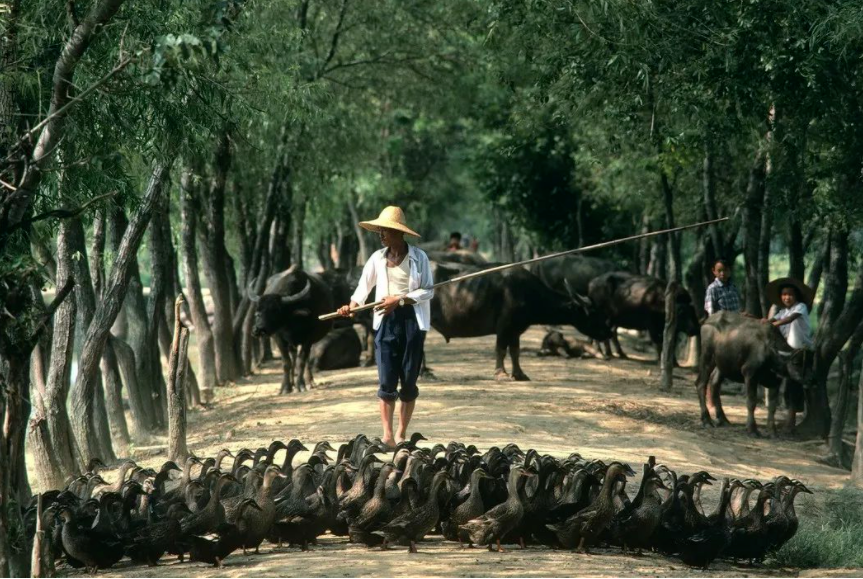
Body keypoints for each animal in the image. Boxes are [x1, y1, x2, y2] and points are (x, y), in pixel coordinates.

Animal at [428, 262, 612, 380]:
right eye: (593, 313)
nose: (608, 332)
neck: (527, 293)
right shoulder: (504, 327)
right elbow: (501, 350)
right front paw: (501, 373)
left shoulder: (515, 330)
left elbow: (515, 352)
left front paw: (520, 374)